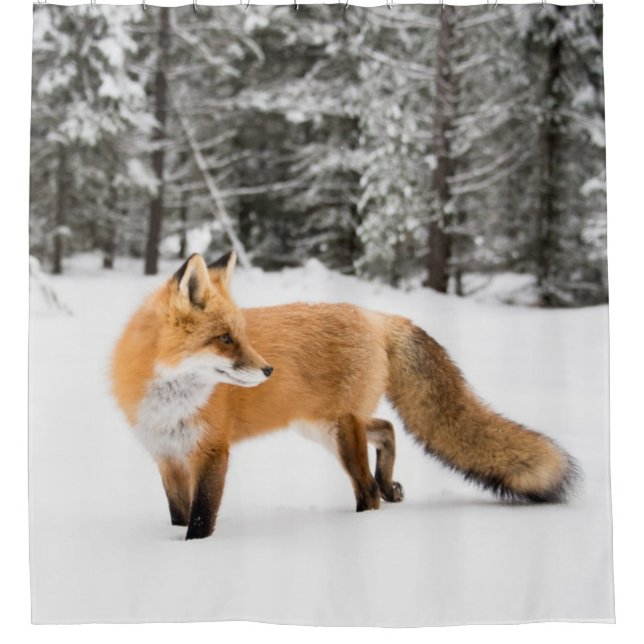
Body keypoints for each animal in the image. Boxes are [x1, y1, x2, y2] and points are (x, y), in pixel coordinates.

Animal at [111, 251, 579, 540]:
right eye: (225, 339)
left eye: (241, 335)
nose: (268, 370)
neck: (169, 402)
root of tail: (374, 316)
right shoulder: (167, 456)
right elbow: (179, 515)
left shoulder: (211, 452)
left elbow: (201, 519)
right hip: (322, 426)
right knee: (387, 429)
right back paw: (389, 485)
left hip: (339, 431)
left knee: (367, 490)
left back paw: (364, 522)